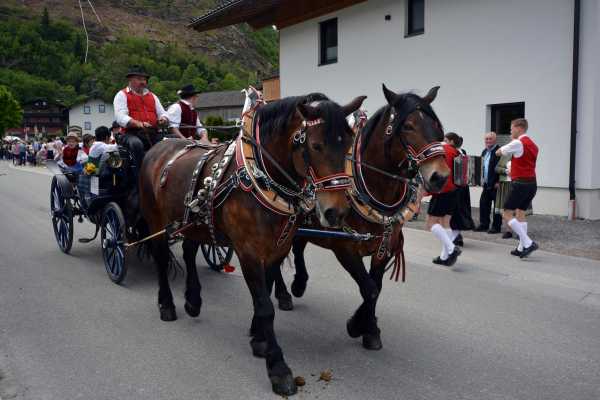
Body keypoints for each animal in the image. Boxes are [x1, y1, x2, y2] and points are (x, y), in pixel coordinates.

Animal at [139, 92, 366, 396]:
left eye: (348, 145)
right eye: (316, 145)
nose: (336, 212)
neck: (261, 175)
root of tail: (159, 146)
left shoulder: (276, 249)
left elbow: (266, 294)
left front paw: (259, 339)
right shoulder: (248, 252)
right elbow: (265, 306)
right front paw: (278, 367)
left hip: (195, 222)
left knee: (188, 252)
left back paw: (193, 300)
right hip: (156, 220)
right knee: (162, 258)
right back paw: (167, 304)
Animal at [270, 85, 448, 350]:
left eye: (437, 127)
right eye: (408, 126)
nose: (441, 176)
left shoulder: (384, 248)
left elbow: (376, 287)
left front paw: (369, 327)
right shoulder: (345, 248)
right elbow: (370, 288)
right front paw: (359, 325)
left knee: (298, 247)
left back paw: (299, 283)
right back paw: (284, 293)